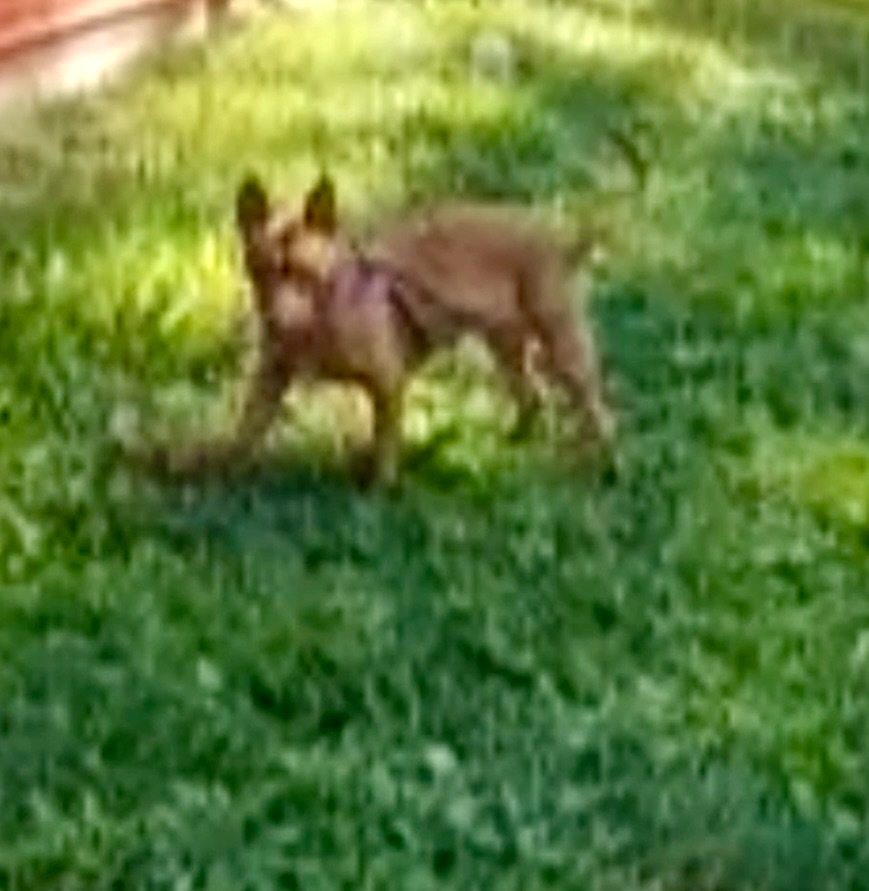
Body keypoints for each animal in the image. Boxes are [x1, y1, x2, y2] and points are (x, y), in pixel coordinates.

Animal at [149, 136, 640, 492]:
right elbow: (243, 432)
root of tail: (563, 240)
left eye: (305, 274)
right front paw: (215, 466)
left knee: (598, 412)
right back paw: (512, 444)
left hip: (562, 345)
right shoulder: (270, 381)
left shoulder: (387, 385)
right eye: (258, 270)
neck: (325, 312)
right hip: (505, 343)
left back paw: (610, 467)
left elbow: (385, 446)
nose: (275, 321)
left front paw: (379, 490)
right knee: (532, 398)